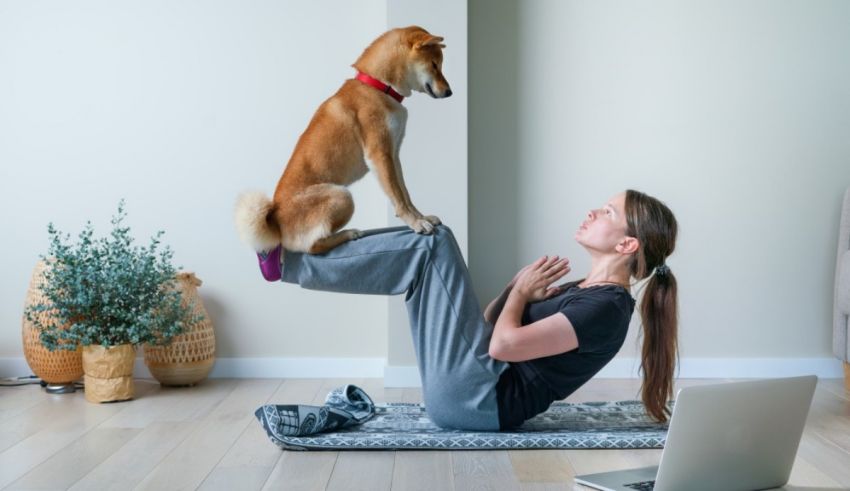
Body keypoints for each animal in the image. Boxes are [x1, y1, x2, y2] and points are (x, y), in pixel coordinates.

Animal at [235, 26, 450, 266]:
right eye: (434, 65)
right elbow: (398, 198)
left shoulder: (393, 155)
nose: (449, 92)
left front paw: (421, 217)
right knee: (311, 247)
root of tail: (275, 222)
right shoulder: (379, 155)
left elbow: (405, 194)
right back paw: (348, 234)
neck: (379, 87)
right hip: (342, 196)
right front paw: (415, 223)